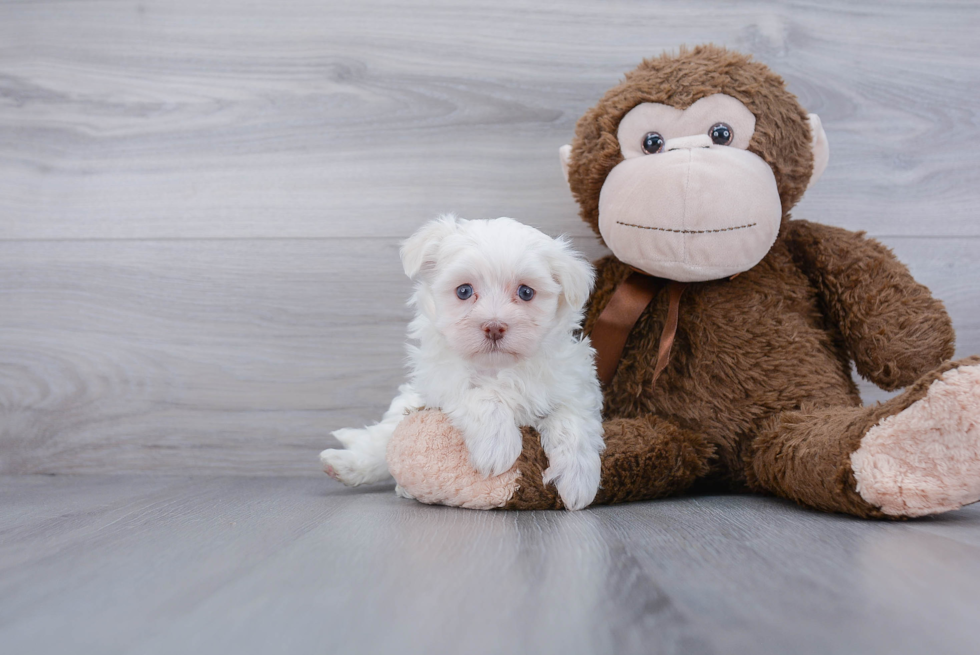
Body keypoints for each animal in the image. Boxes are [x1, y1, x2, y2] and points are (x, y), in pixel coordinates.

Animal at [320, 218, 604, 510]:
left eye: (526, 292)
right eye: (464, 291)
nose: (494, 326)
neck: (498, 368)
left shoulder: (574, 386)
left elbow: (574, 423)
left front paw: (578, 480)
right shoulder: (441, 380)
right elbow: (482, 396)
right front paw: (496, 447)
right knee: (383, 441)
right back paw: (345, 465)